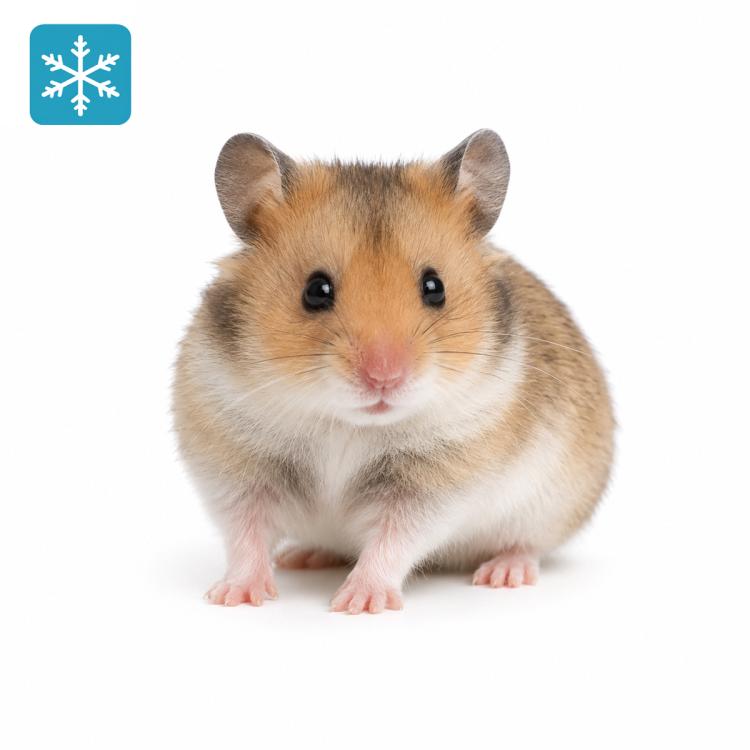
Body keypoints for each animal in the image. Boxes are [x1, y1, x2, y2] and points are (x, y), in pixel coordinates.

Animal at [172, 129, 615, 614]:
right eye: (316, 290)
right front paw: (231, 597)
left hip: (553, 505)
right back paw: (305, 555)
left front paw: (358, 603)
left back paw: (503, 573)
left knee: (527, 544)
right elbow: (245, 534)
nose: (384, 378)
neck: (346, 425)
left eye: (434, 287)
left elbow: (393, 541)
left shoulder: (431, 486)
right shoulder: (233, 469)